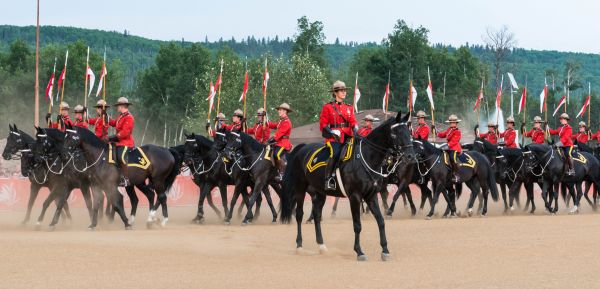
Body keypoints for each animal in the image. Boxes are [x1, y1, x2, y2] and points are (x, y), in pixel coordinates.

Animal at [280, 111, 412, 260]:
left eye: (408, 132)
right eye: (395, 134)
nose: (410, 156)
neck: (367, 158)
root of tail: (302, 148)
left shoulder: (371, 196)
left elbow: (381, 221)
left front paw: (385, 250)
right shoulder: (355, 196)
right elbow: (357, 225)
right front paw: (359, 251)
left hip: (320, 192)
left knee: (317, 215)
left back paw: (322, 246)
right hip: (300, 189)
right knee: (299, 214)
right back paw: (299, 245)